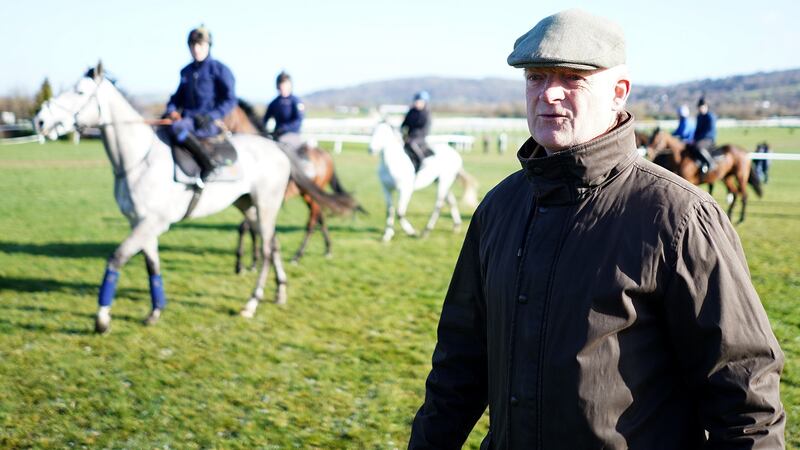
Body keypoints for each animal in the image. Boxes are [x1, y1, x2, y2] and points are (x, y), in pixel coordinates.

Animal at [34, 63, 300, 332]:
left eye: (79, 92)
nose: (40, 120)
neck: (139, 161)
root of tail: (275, 147)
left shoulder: (152, 223)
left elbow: (116, 259)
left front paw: (102, 319)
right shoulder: (140, 223)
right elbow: (152, 265)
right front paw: (155, 311)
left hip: (266, 205)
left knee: (266, 250)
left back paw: (252, 303)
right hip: (249, 206)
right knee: (274, 244)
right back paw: (280, 292)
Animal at [222, 101, 360, 268]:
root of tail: (325, 154)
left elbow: (245, 227)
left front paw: (242, 262)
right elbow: (251, 228)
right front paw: (253, 262)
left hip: (310, 195)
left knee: (312, 222)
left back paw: (297, 256)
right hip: (309, 195)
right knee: (321, 218)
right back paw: (328, 249)